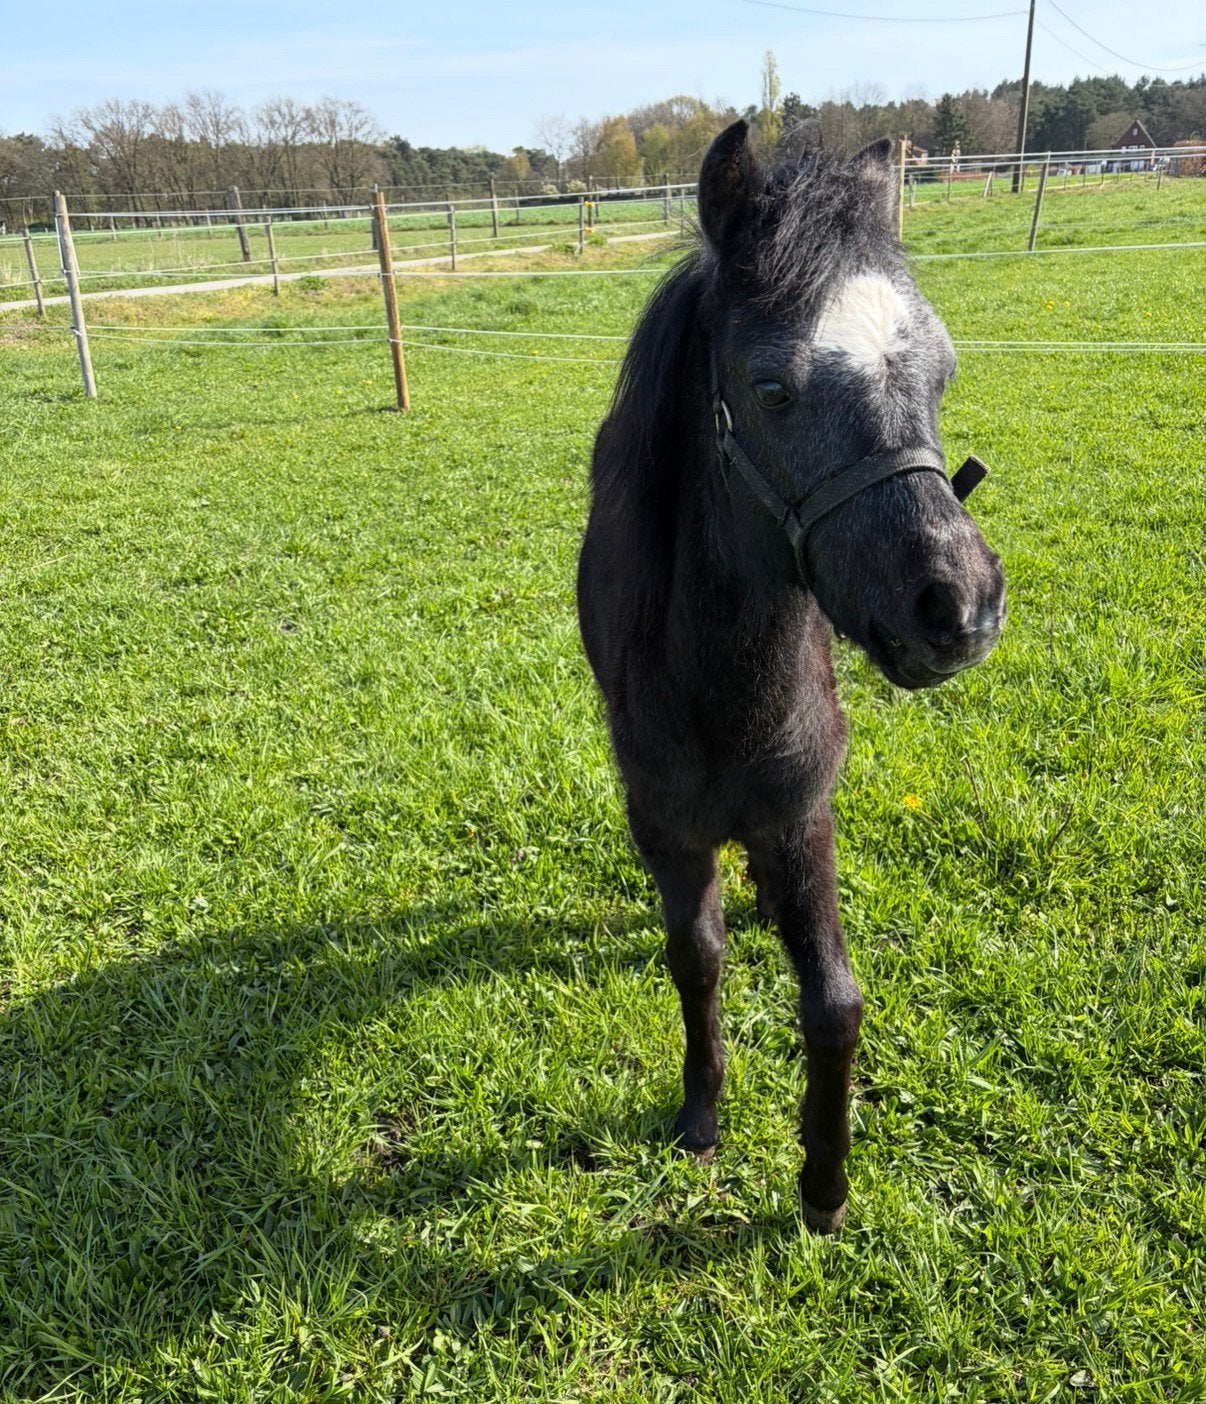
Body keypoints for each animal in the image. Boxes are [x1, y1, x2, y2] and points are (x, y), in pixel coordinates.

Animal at [576, 121, 1006, 1232]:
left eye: (941, 375)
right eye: (772, 390)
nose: (961, 606)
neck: (719, 691)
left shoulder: (801, 817)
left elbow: (835, 1002)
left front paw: (825, 1185)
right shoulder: (668, 830)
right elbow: (697, 958)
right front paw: (701, 1112)